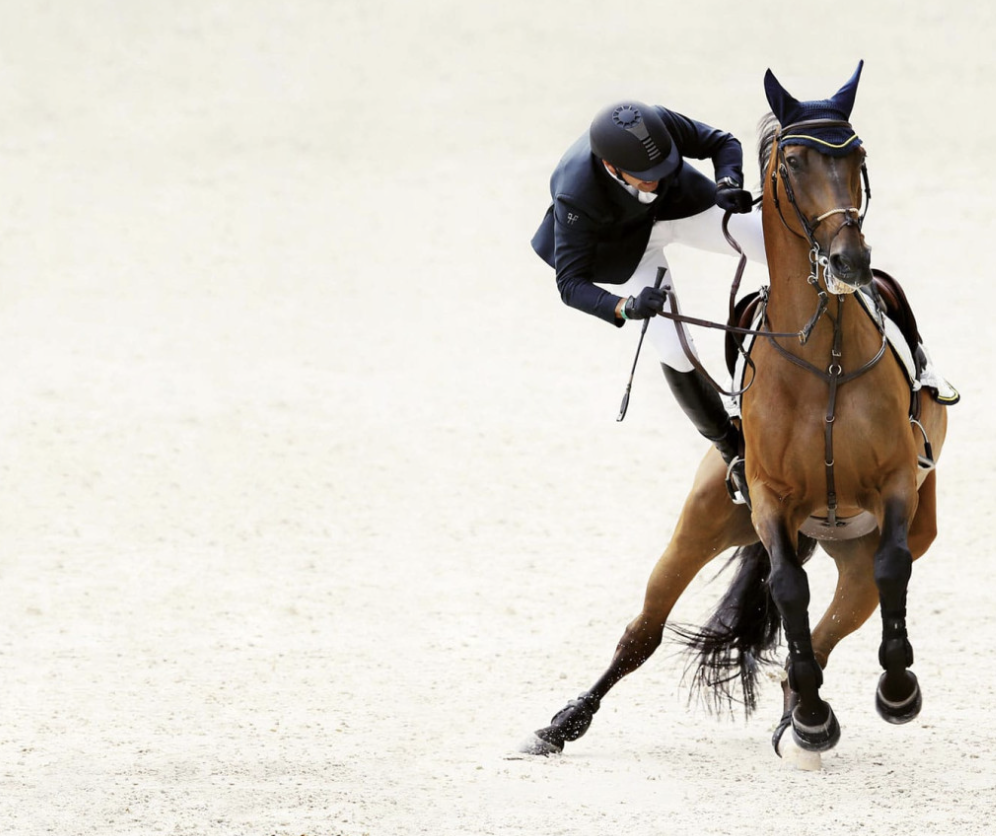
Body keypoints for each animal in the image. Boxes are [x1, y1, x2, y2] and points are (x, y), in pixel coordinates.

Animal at [516, 62, 952, 760]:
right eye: (794, 162)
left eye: (857, 157)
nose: (849, 262)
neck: (825, 361)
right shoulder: (773, 498)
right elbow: (788, 588)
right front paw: (819, 715)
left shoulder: (894, 488)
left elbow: (892, 570)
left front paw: (895, 693)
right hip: (702, 524)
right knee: (645, 629)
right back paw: (562, 724)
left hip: (858, 551)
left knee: (835, 622)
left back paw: (800, 719)